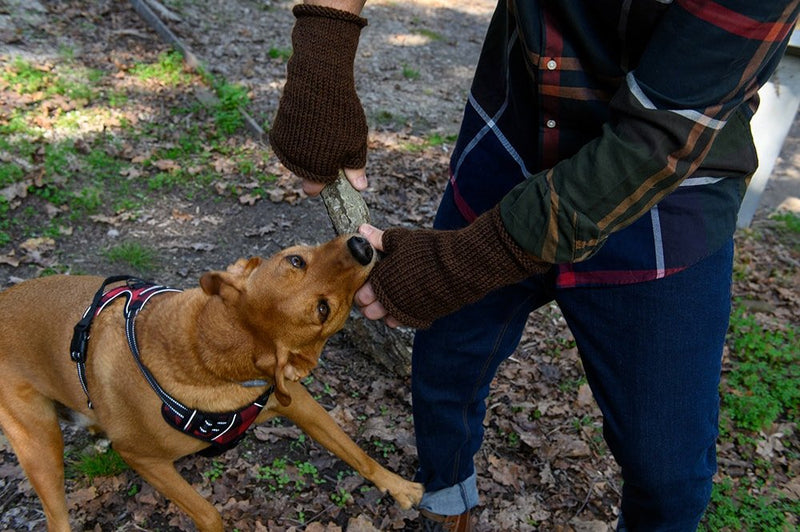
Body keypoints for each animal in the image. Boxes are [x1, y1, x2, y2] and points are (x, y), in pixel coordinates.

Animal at [0, 236, 424, 532]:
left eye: (324, 308)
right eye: (296, 260)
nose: (361, 246)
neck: (205, 354)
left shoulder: (297, 402)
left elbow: (353, 450)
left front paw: (398, 486)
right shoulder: (142, 458)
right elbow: (208, 514)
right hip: (41, 449)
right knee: (56, 518)